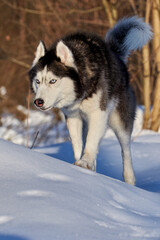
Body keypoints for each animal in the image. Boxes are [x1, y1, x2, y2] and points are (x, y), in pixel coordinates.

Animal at [28, 17, 152, 186]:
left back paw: (129, 180)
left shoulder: (98, 114)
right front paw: (80, 165)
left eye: (53, 81)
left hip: (119, 121)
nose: (38, 102)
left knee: (125, 150)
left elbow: (91, 142)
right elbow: (78, 144)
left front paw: (85, 162)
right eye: (38, 81)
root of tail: (116, 55)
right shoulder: (73, 117)